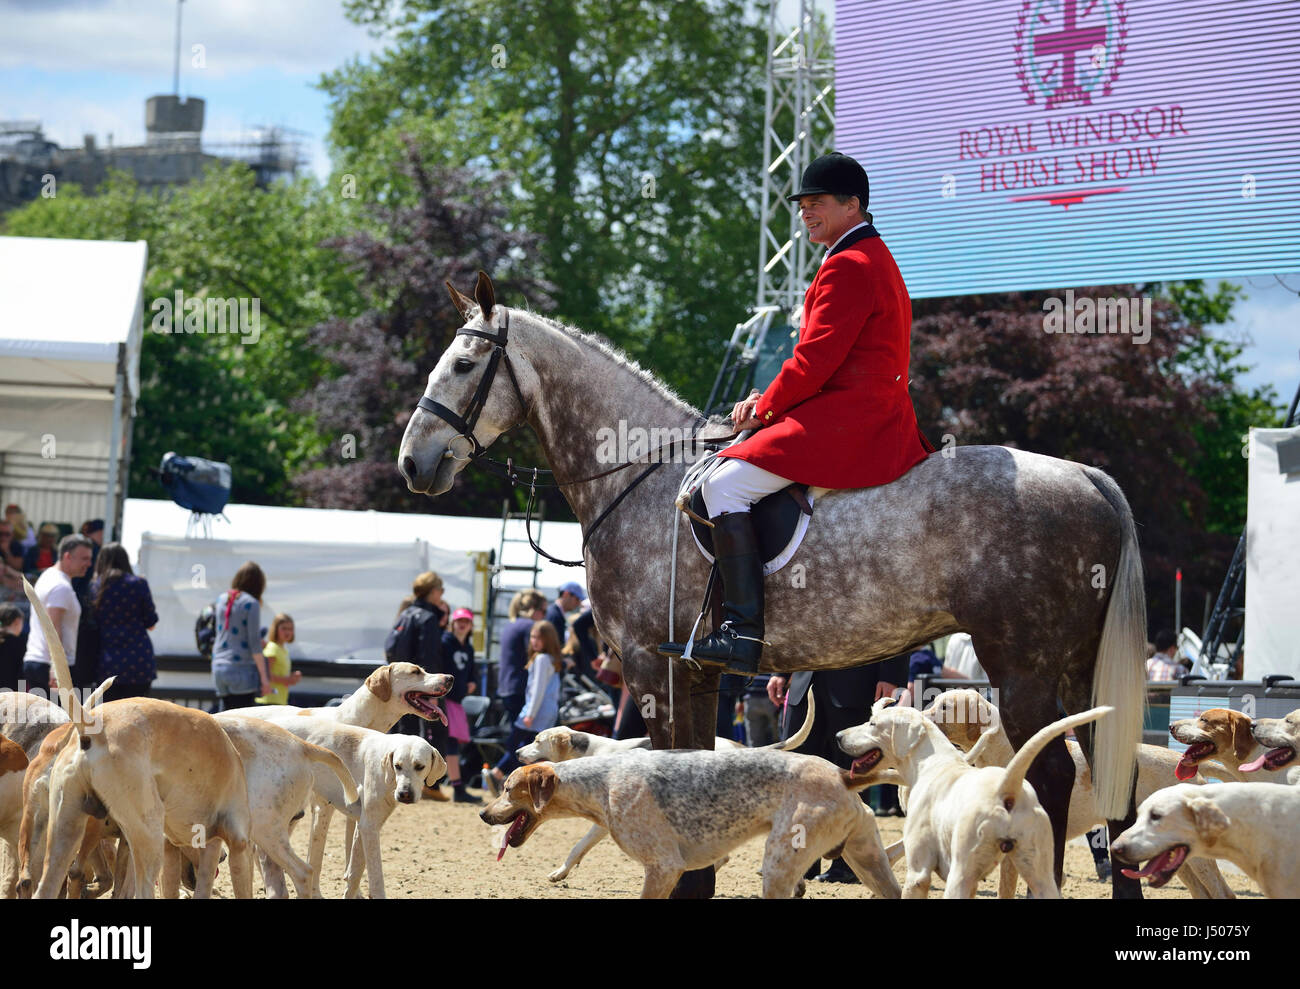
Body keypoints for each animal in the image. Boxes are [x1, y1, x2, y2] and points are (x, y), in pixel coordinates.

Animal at [397, 274, 1149, 899]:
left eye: (463, 365)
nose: (413, 462)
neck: (637, 473)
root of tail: (1089, 477)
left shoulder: (649, 667)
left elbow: (673, 770)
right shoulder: (695, 672)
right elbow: (696, 772)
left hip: (1023, 669)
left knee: (1052, 778)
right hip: (1076, 669)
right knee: (1112, 771)